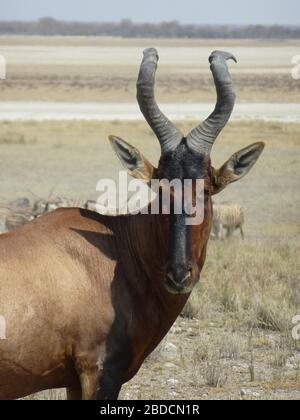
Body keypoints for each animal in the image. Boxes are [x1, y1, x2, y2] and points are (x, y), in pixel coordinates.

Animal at [0, 49, 264, 400]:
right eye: (160, 188)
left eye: (207, 189)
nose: (178, 275)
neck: (115, 249)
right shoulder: (98, 372)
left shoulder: (73, 380)